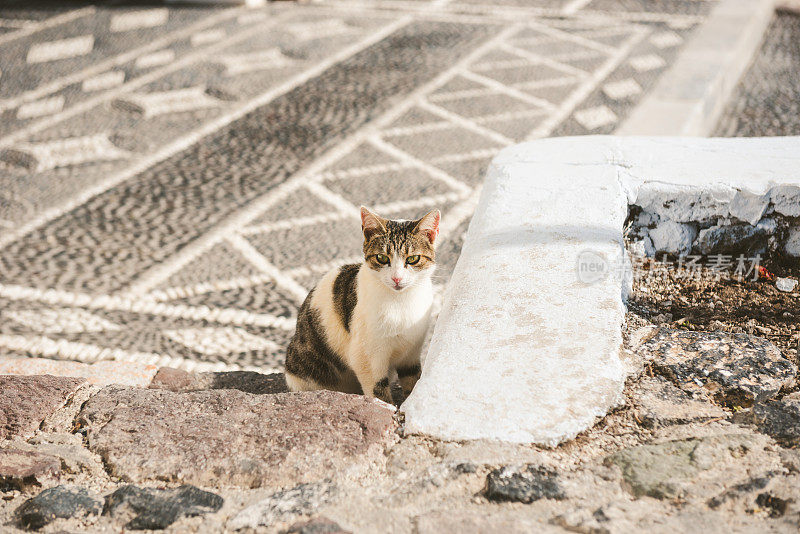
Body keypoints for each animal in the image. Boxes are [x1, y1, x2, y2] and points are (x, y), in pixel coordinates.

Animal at [284, 207, 440, 404]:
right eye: (382, 258)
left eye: (413, 259)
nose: (397, 278)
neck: (401, 302)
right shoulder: (367, 358)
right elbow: (378, 391)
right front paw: (387, 406)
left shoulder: (411, 352)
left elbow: (413, 380)